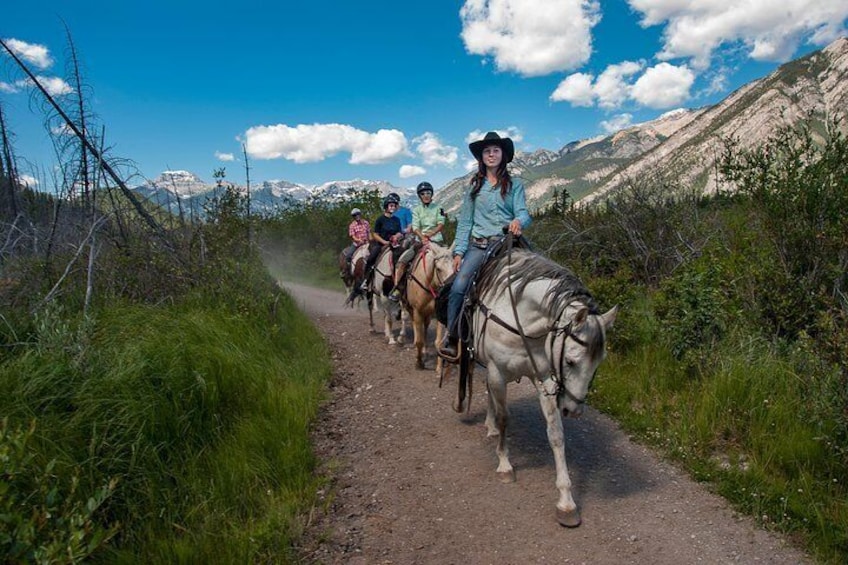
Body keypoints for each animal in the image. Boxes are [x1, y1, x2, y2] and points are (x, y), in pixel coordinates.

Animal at [458, 242, 616, 528]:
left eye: (599, 363)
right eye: (570, 360)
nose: (574, 411)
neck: (521, 320)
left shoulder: (545, 379)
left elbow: (556, 434)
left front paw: (566, 501)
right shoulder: (497, 372)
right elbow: (505, 418)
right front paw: (505, 465)